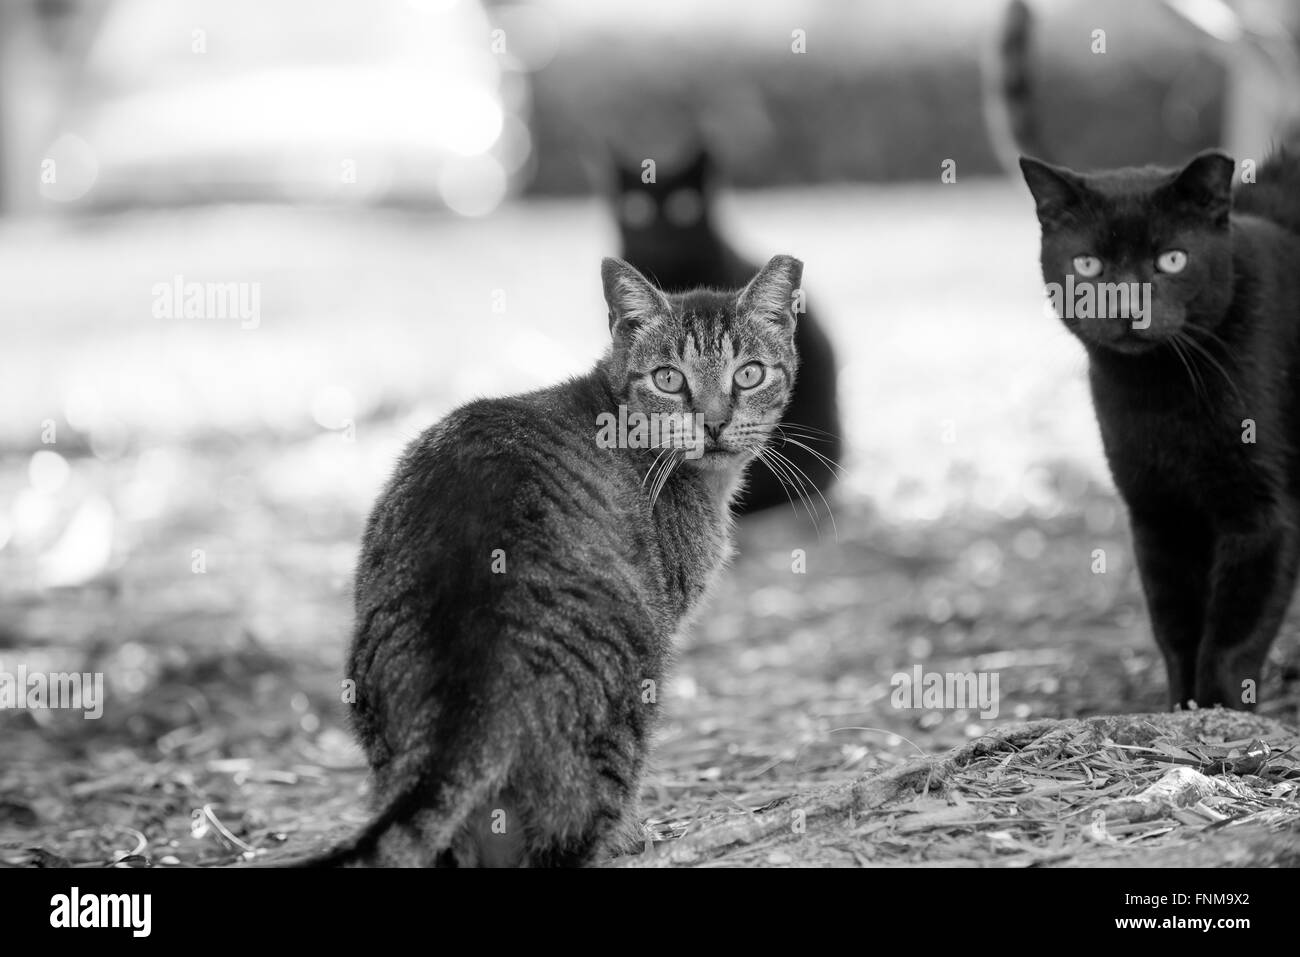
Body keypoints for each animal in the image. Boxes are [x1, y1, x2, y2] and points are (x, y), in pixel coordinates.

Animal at [1019, 149, 1300, 712]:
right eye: (1088, 265)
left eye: (1172, 260)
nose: (1128, 308)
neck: (1159, 394)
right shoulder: (1156, 513)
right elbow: (1175, 627)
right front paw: (1181, 707)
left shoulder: (1264, 517)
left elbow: (1233, 635)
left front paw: (1220, 711)